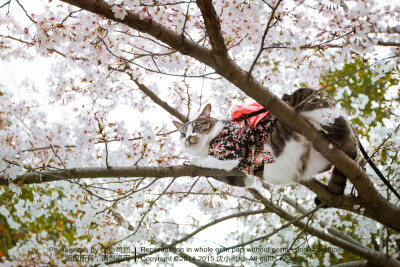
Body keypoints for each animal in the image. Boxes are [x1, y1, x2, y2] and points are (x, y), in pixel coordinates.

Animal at [173, 89, 358, 198]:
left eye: (196, 127)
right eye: (182, 134)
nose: (187, 138)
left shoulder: (235, 152)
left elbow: (211, 160)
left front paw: (194, 160)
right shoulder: (244, 177)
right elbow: (225, 175)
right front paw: (191, 164)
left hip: (310, 103)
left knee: (341, 128)